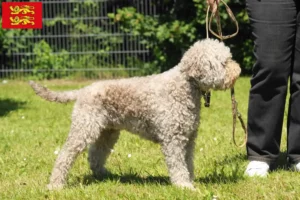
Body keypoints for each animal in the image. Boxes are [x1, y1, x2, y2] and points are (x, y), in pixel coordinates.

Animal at [29, 38, 241, 190]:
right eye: (224, 62)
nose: (239, 70)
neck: (184, 86)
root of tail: (83, 90)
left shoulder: (188, 138)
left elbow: (188, 162)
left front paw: (190, 180)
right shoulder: (173, 139)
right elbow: (177, 164)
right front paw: (183, 186)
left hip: (108, 132)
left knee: (96, 154)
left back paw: (104, 175)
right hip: (84, 128)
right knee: (65, 154)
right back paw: (55, 185)